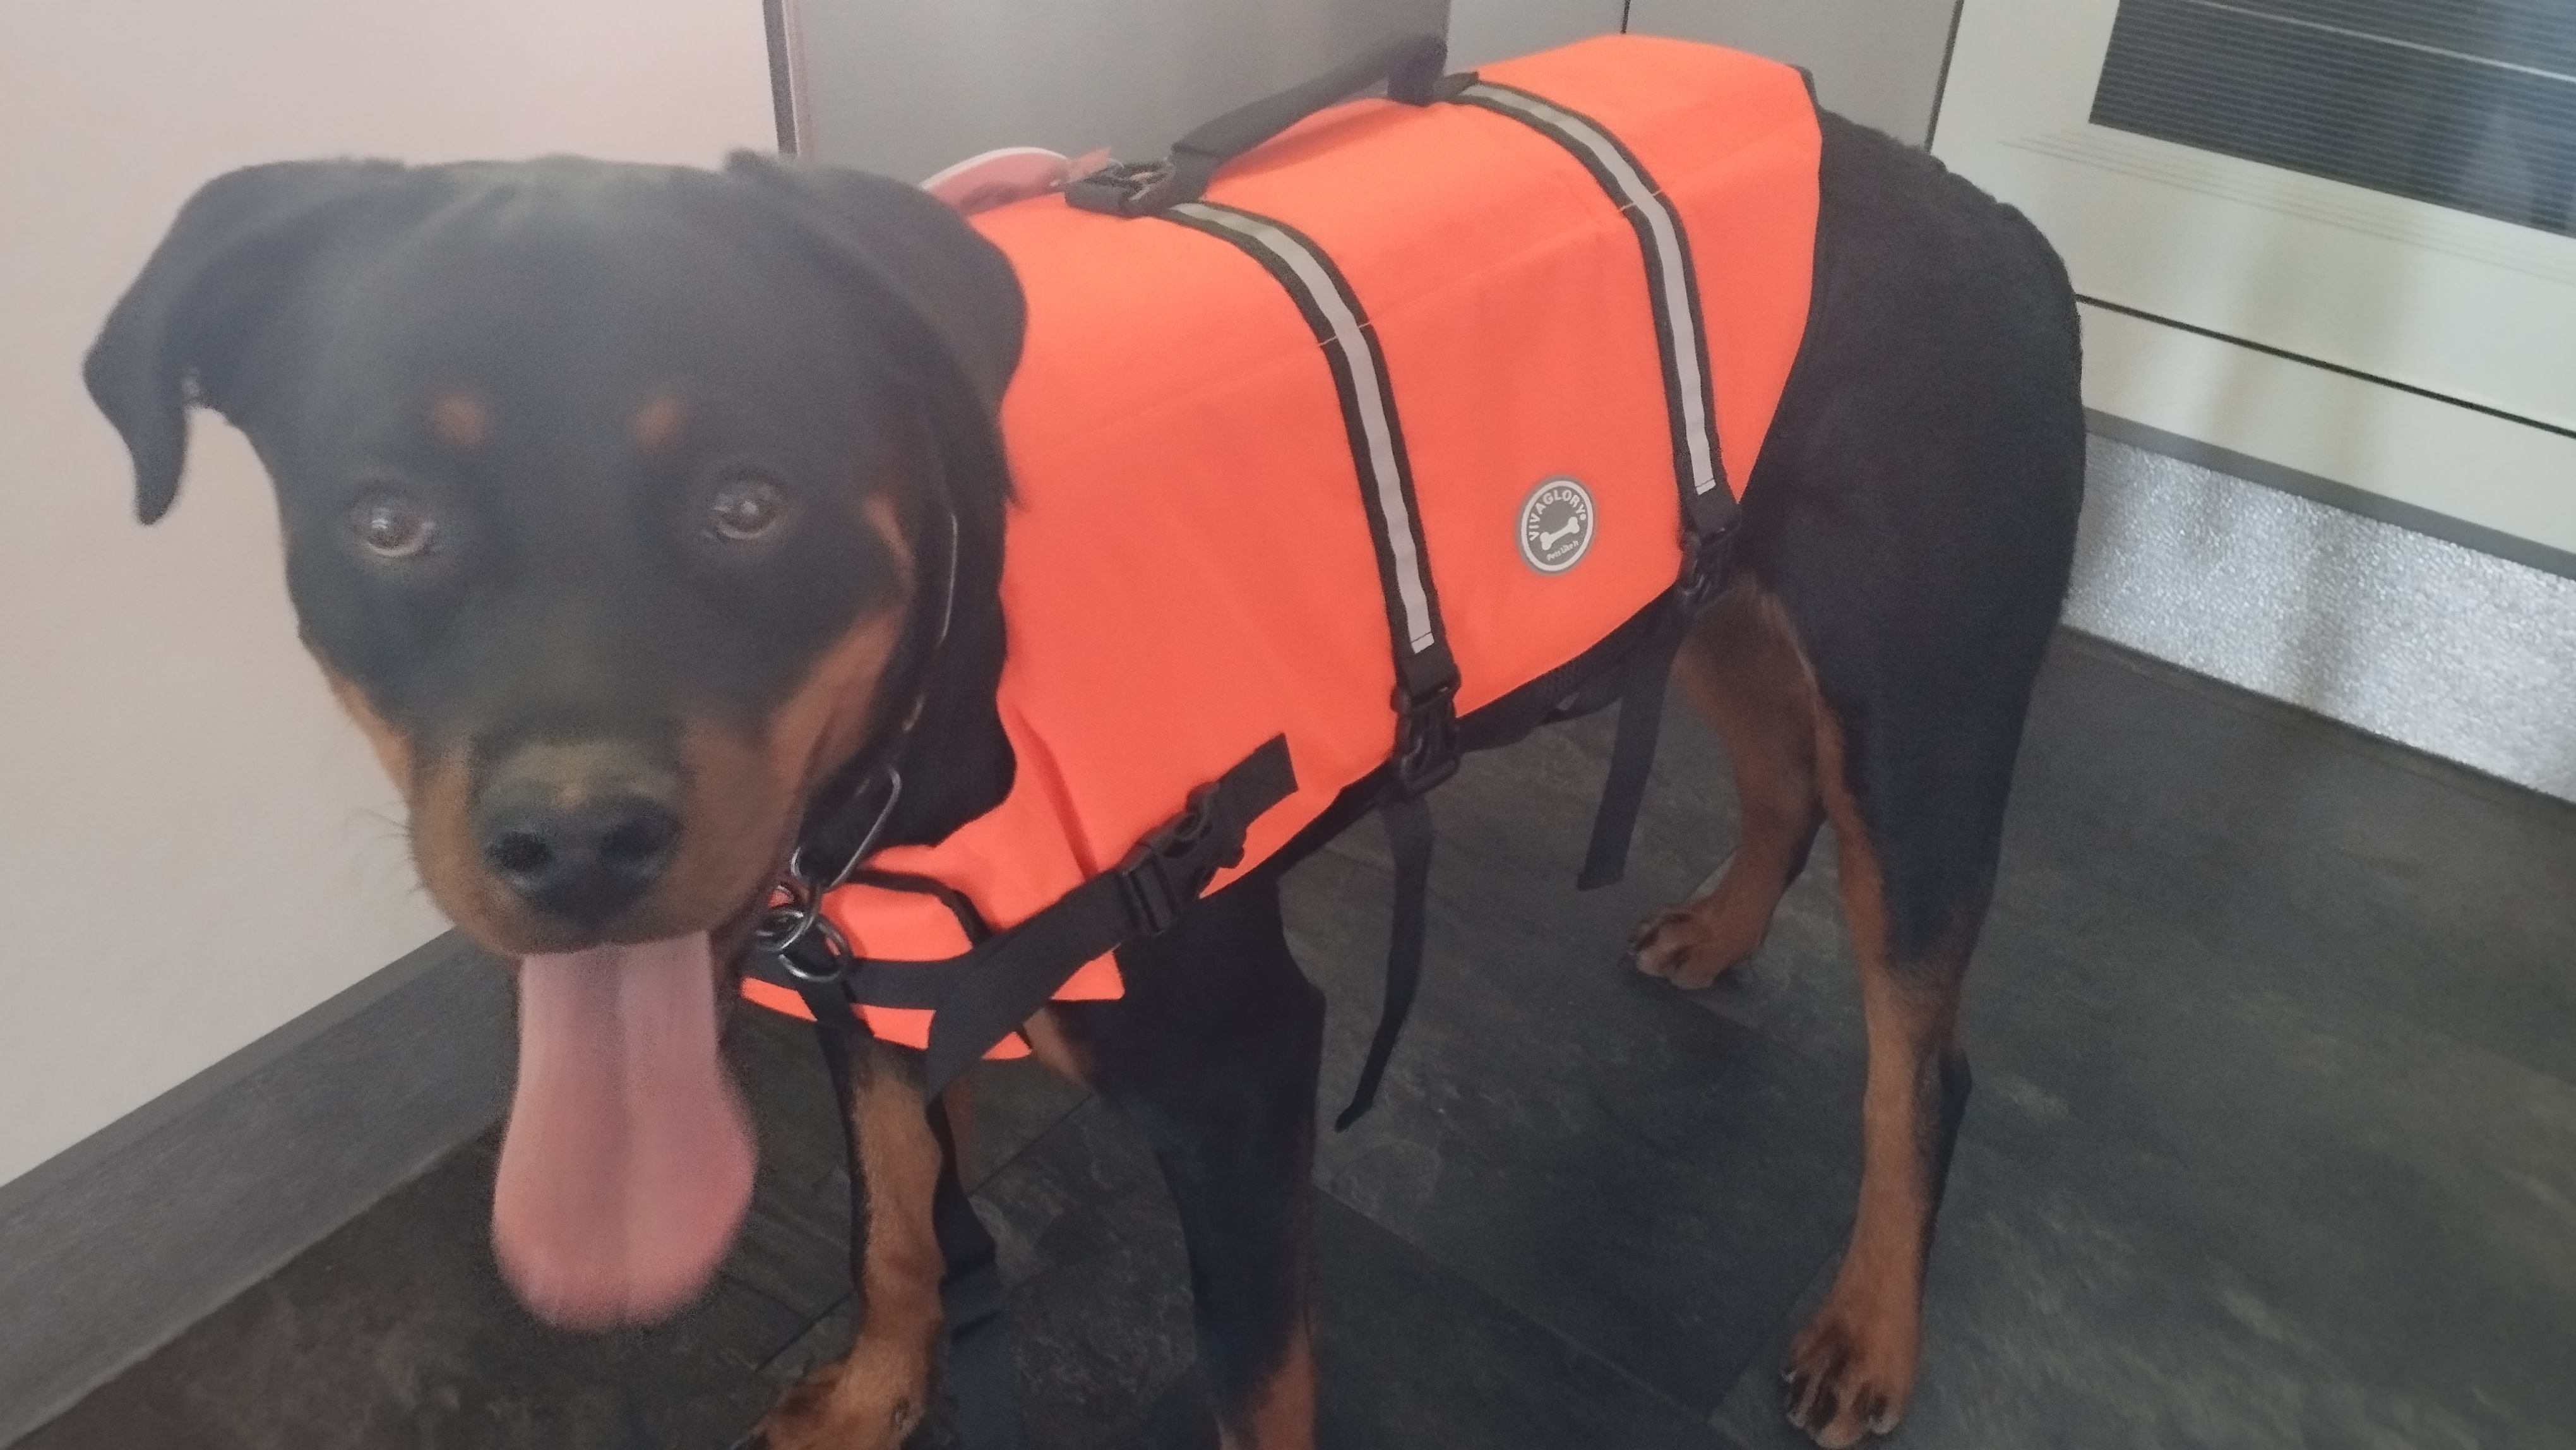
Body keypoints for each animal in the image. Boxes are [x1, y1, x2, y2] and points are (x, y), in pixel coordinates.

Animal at [84, 52, 2083, 1450]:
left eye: (749, 499)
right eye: (387, 521)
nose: (575, 848)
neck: (936, 708)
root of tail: (1994, 215)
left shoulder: (1243, 1077)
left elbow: (1253, 1389)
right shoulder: (856, 975)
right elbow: (897, 1215)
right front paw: (881, 1384)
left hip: (1929, 721)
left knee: (1921, 1062)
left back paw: (1868, 1324)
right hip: (1723, 601)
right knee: (1779, 788)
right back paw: (1725, 928)